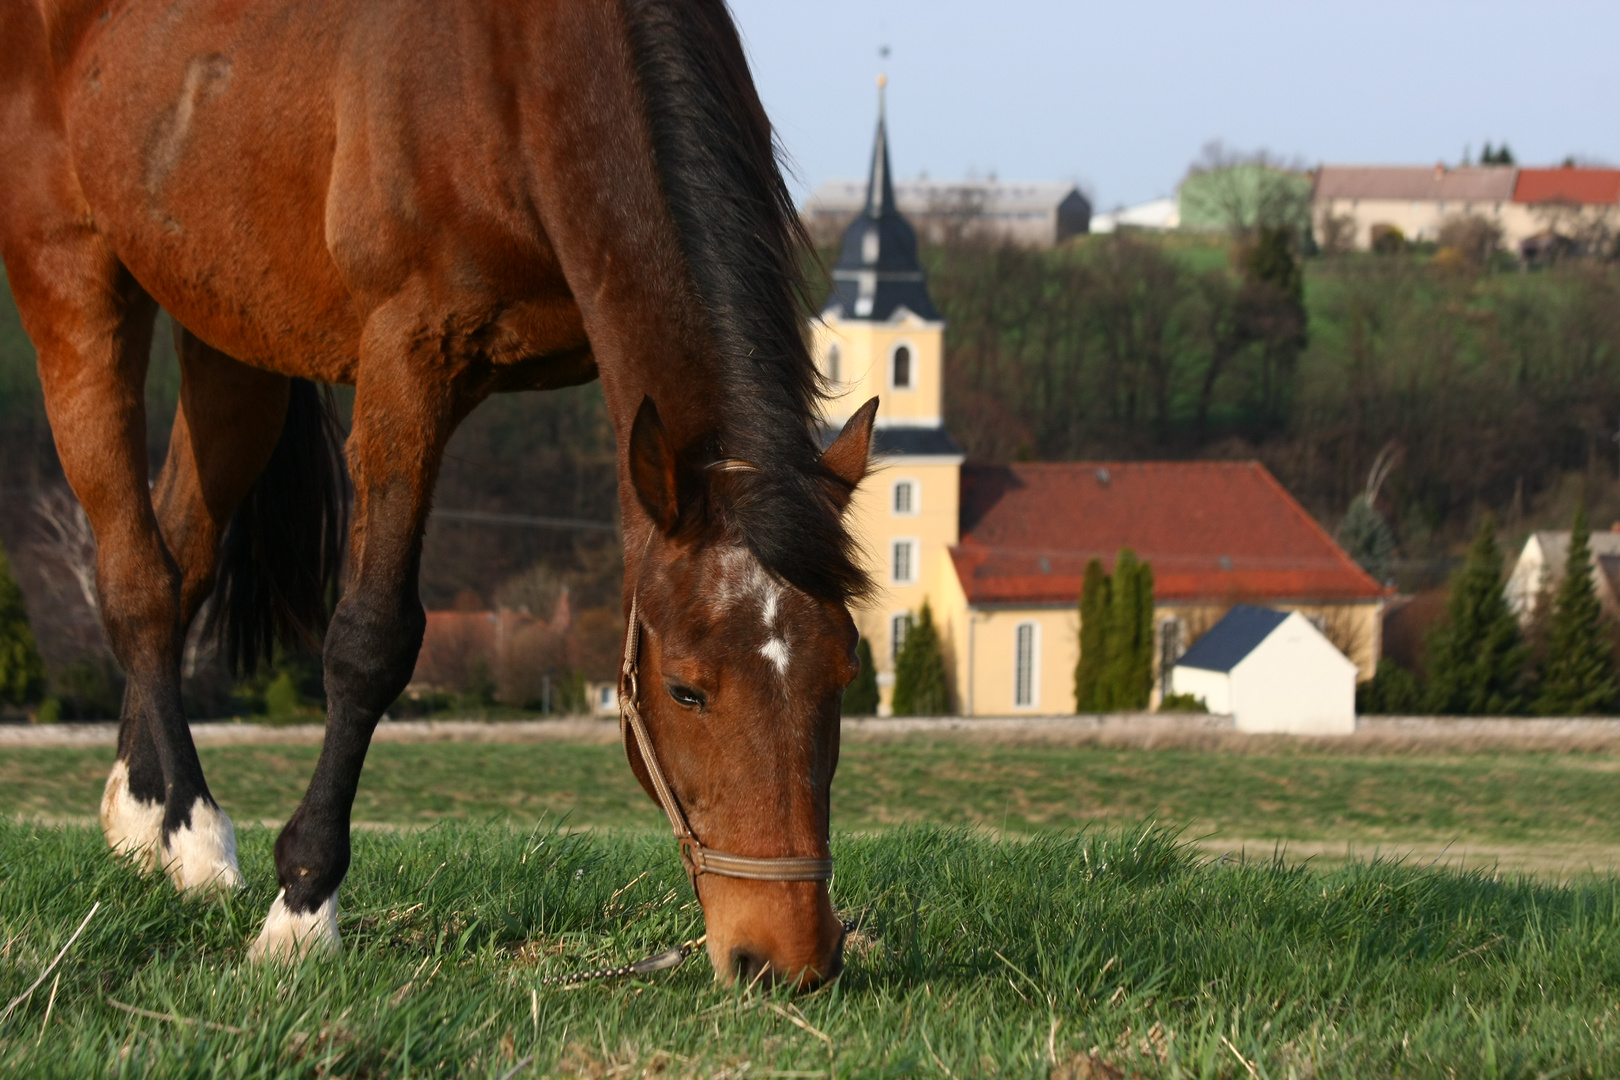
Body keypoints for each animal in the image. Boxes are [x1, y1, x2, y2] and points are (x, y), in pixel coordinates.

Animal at [0, 0, 881, 990]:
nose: (788, 957)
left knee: (182, 554)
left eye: (843, 672)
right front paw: (303, 906)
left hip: (224, 331)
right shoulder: (407, 356)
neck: (522, 71)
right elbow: (370, 640)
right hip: (70, 282)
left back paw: (142, 811)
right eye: (686, 690)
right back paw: (191, 834)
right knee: (137, 579)